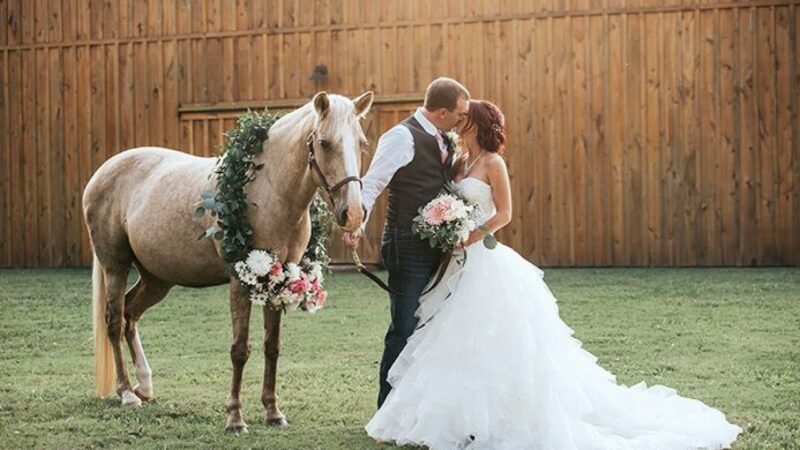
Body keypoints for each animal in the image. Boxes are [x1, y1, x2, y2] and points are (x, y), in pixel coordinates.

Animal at [84, 89, 372, 430]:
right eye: (325, 143)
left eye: (361, 142)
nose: (352, 214)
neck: (267, 189)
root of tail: (104, 171)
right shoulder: (240, 279)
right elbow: (239, 349)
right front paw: (235, 417)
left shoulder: (279, 280)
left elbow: (271, 347)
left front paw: (273, 412)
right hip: (115, 266)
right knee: (115, 321)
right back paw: (127, 393)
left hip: (157, 280)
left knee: (130, 315)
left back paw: (145, 384)